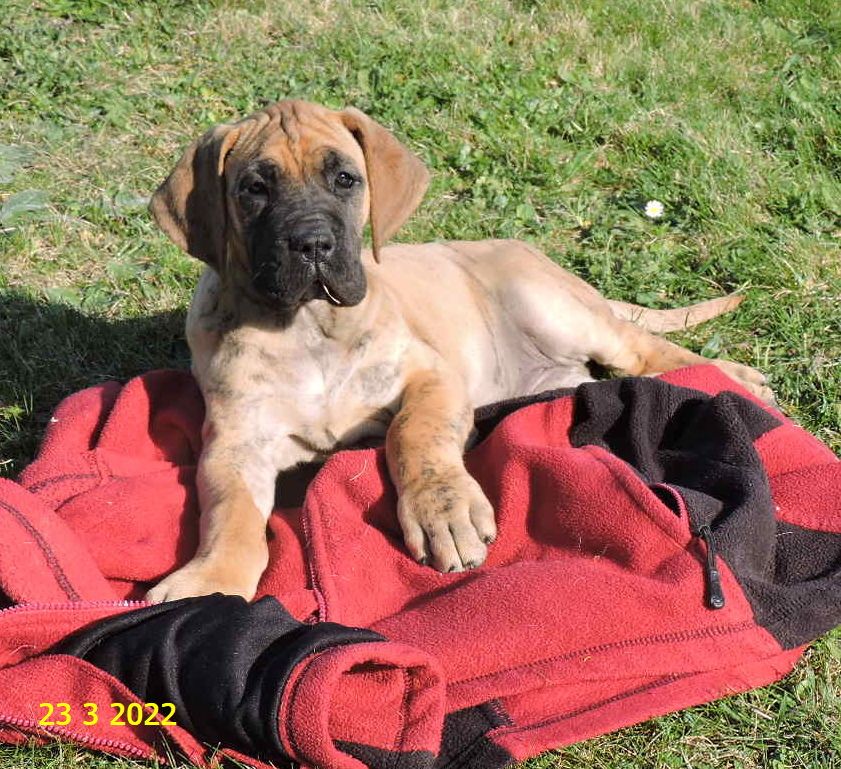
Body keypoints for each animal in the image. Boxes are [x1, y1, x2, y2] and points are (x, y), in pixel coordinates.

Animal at [145, 99, 772, 602]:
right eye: (254, 189)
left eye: (345, 179)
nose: (312, 244)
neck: (308, 327)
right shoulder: (235, 443)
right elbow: (231, 512)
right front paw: (211, 579)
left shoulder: (429, 375)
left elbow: (415, 437)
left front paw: (443, 512)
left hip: (555, 308)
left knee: (643, 352)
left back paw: (733, 378)